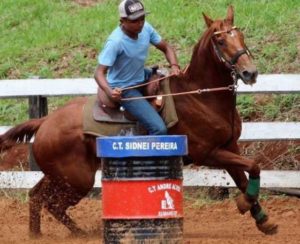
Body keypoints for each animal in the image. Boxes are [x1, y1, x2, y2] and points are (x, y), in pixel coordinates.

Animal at [0, 5, 278, 238]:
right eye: (220, 40)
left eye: (240, 35)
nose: (250, 72)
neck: (200, 96)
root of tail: (45, 121)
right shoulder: (209, 153)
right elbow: (253, 167)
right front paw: (246, 205)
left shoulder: (230, 146)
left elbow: (245, 178)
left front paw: (263, 220)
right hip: (77, 179)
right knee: (52, 204)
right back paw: (80, 234)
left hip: (59, 175)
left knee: (35, 196)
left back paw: (38, 234)